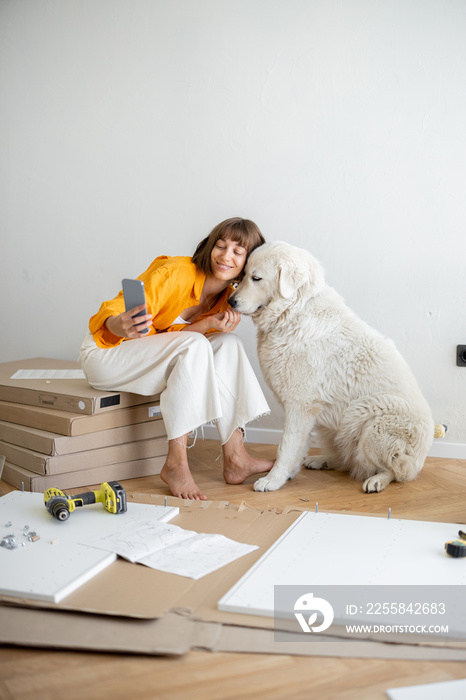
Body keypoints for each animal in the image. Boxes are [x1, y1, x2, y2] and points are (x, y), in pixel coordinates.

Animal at [228, 241, 434, 492]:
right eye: (243, 275)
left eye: (256, 278)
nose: (230, 301)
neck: (294, 310)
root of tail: (421, 457)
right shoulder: (305, 408)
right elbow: (296, 447)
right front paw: (288, 474)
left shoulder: (300, 405)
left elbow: (286, 446)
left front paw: (273, 480)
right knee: (348, 459)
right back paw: (322, 460)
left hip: (369, 417)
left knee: (396, 471)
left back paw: (376, 480)